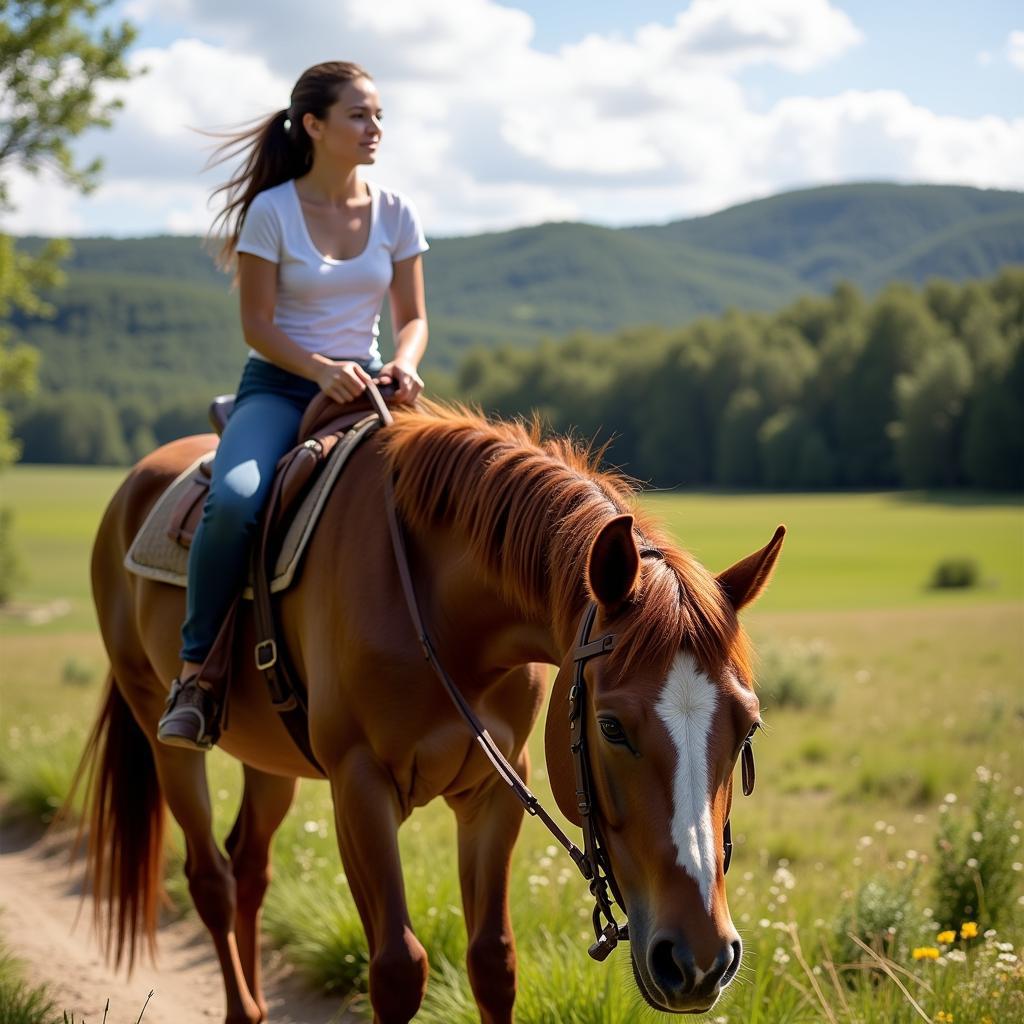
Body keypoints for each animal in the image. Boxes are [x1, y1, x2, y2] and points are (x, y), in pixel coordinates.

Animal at [79, 403, 782, 1024]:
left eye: (746, 727)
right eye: (610, 726)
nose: (700, 960)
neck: (442, 616)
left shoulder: (492, 793)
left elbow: (494, 963)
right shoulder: (358, 789)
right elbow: (396, 967)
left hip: (269, 761)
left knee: (249, 868)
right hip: (165, 738)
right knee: (212, 881)